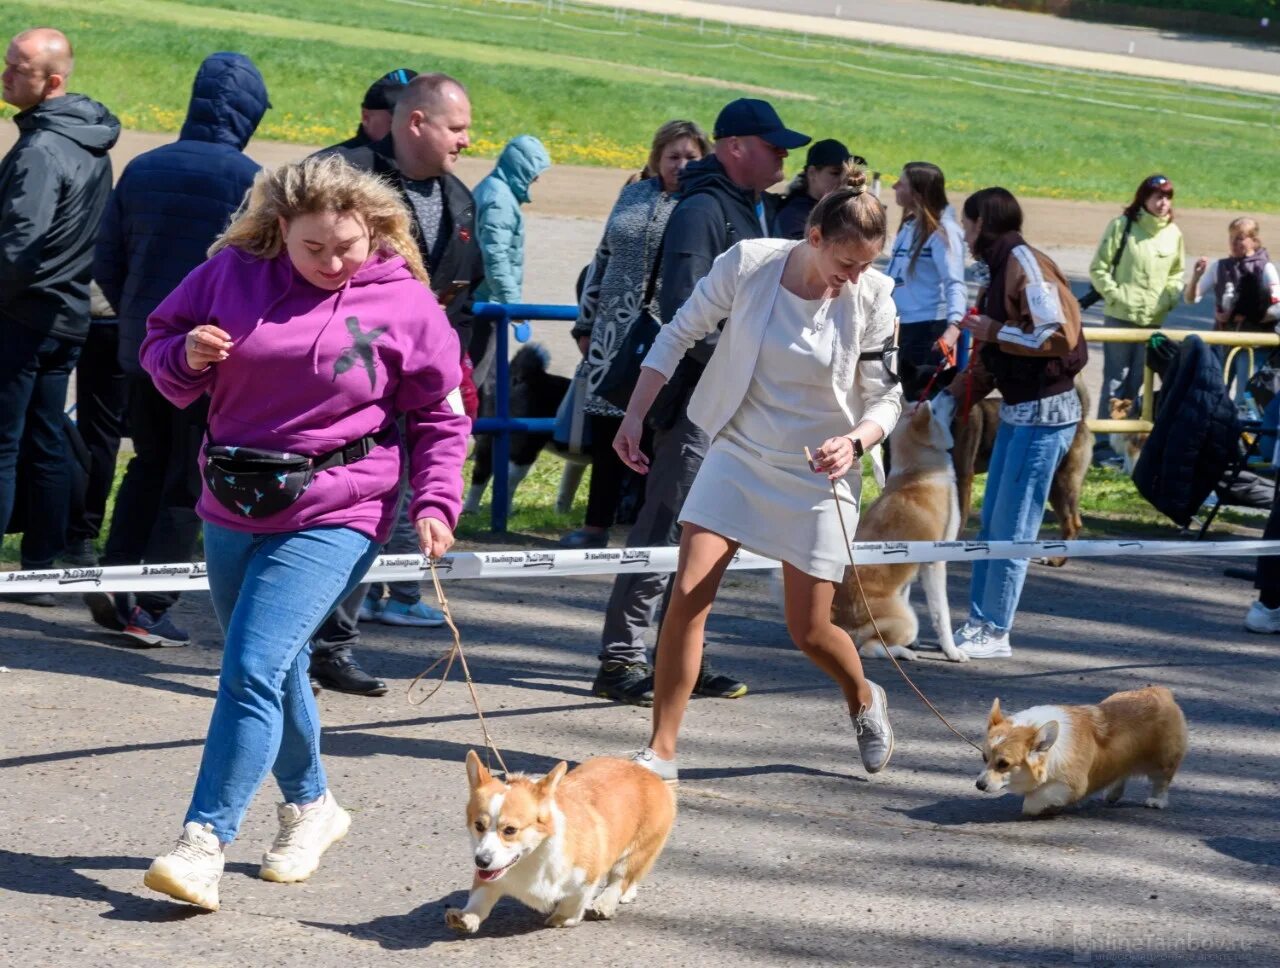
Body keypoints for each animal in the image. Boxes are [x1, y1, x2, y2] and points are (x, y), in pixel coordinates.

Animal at [445, 752, 675, 932]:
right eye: (478, 825)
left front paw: (564, 918)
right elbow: (480, 900)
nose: (481, 861)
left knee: (620, 878)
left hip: (640, 847)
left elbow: (574, 901)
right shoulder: (491, 878)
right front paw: (466, 918)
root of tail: (648, 774)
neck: (533, 857)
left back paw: (604, 904)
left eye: (510, 830)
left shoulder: (587, 876)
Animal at [829, 396, 962, 660]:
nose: (952, 394)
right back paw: (903, 652)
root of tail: (842, 624)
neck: (919, 472)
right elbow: (942, 615)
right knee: (868, 647)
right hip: (908, 619)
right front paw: (952, 651)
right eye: (935, 407)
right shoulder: (935, 563)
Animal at [977, 686, 1187, 814]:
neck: (1052, 751)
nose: (978, 785)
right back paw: (1112, 794)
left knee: (1162, 781)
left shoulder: (1073, 784)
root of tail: (1161, 691)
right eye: (984, 758)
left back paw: (1156, 801)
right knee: (1122, 773)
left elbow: (1033, 801)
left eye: (1004, 764)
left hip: (1162, 761)